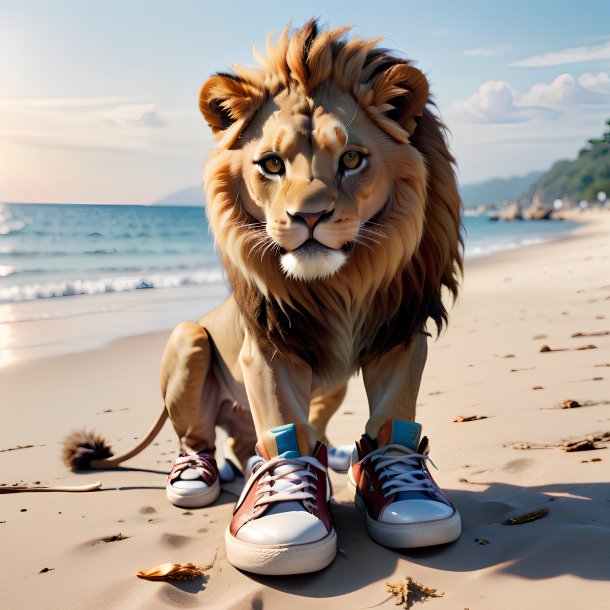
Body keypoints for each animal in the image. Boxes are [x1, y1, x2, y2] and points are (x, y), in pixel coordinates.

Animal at [63, 20, 460, 568]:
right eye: (271, 164)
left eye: (352, 158)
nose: (309, 216)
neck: (342, 287)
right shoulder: (268, 351)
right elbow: (284, 426)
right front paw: (287, 516)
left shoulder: (399, 335)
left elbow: (391, 414)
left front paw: (404, 494)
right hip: (189, 340)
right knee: (201, 438)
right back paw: (200, 476)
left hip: (329, 385)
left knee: (284, 433)